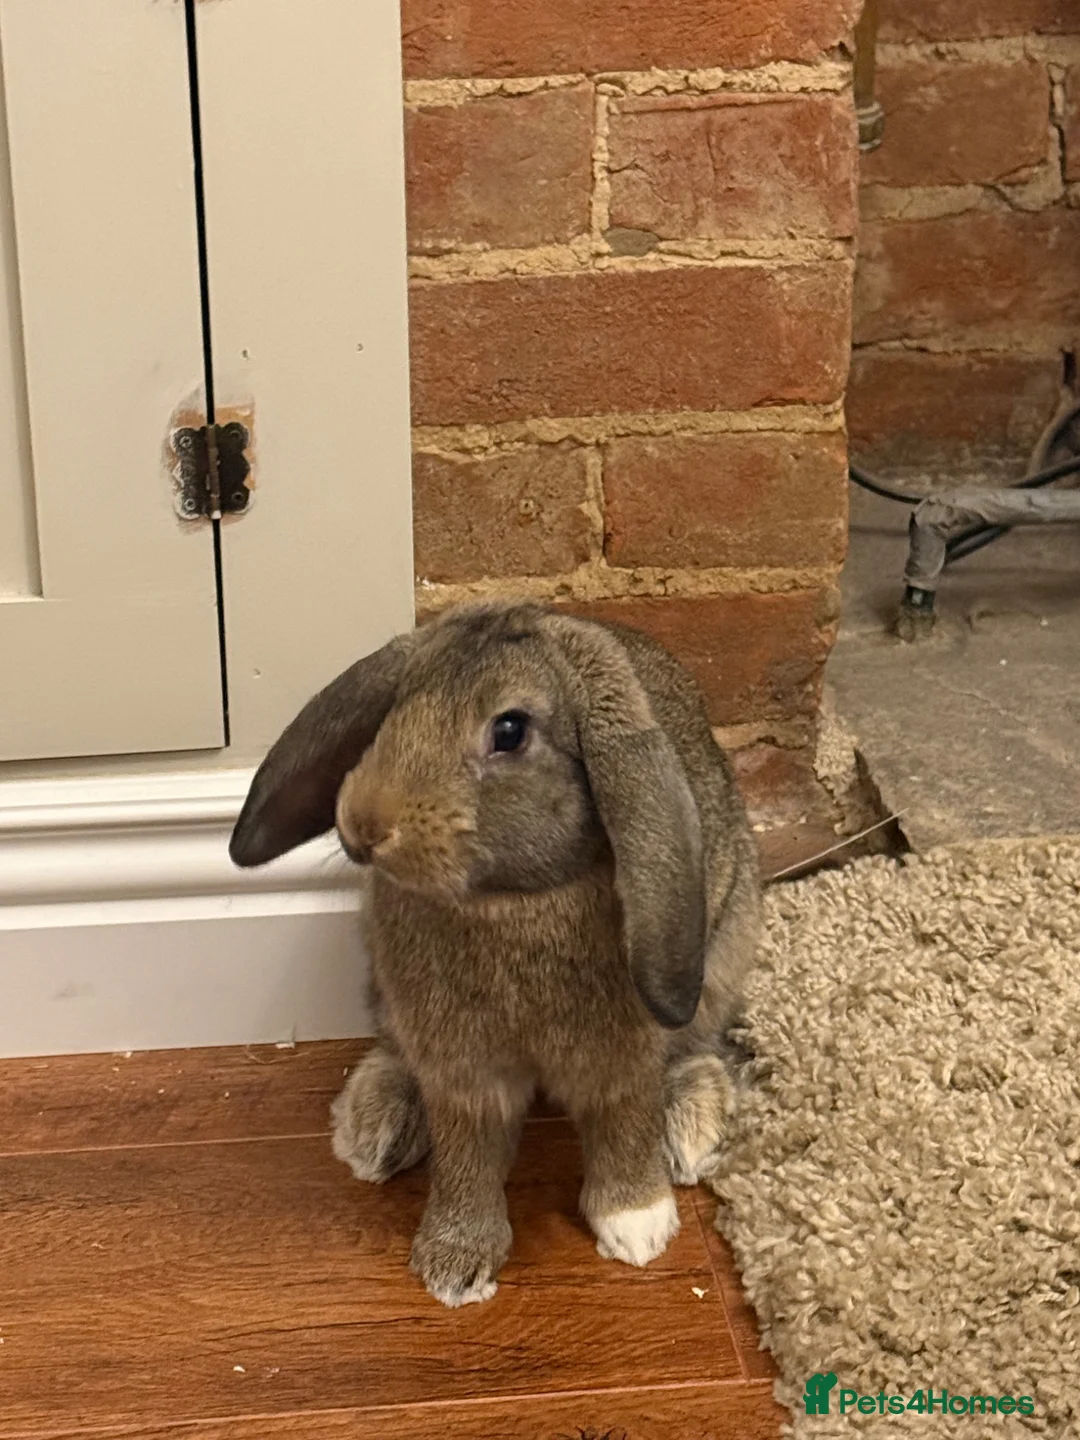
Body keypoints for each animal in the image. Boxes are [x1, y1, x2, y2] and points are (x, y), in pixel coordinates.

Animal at [229, 600, 761, 1307]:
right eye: (395, 705)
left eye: (509, 730)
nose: (364, 824)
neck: (509, 900)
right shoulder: (462, 1068)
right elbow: (468, 1153)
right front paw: (454, 1266)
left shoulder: (618, 1056)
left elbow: (622, 1120)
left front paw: (637, 1229)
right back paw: (376, 1129)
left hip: (721, 954)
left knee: (695, 1047)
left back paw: (691, 1126)